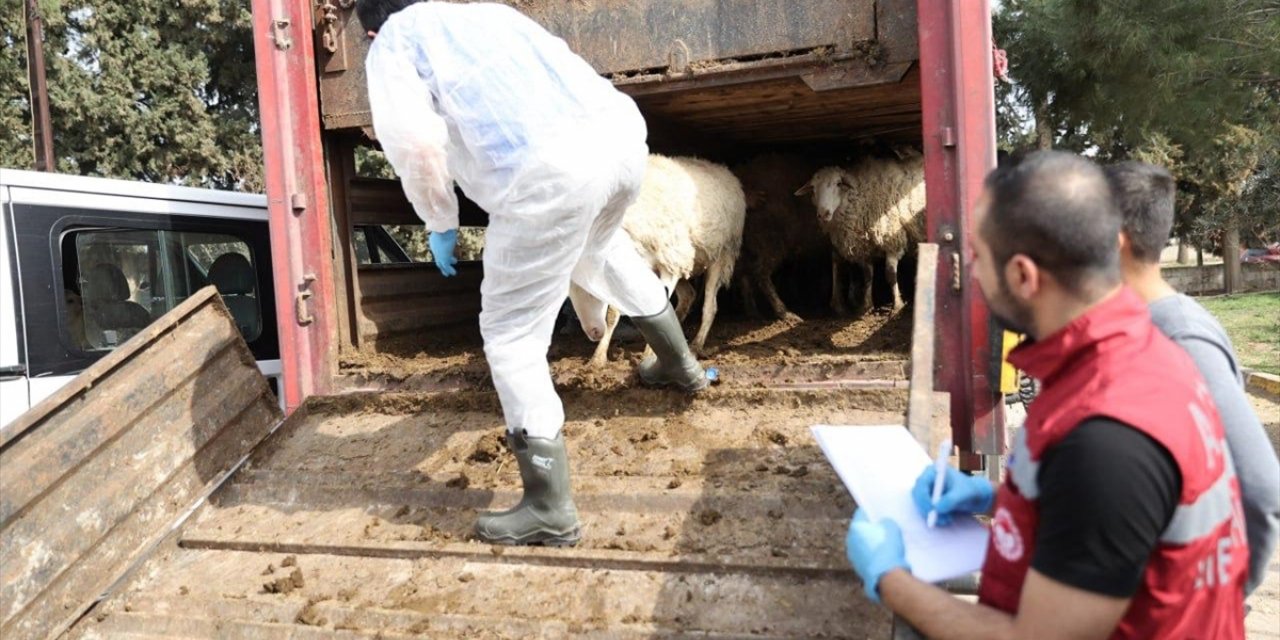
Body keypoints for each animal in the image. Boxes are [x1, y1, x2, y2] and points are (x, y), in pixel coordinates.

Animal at [570, 152, 747, 368]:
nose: (592, 332)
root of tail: (722, 169)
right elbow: (614, 314)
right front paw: (598, 357)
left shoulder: (670, 263)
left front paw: (649, 354)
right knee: (688, 296)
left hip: (719, 255)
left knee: (709, 307)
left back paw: (696, 346)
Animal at [737, 152, 834, 322]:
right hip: (771, 240)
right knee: (760, 273)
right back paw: (784, 312)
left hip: (747, 245)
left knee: (744, 274)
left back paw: (753, 313)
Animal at [793, 149, 926, 312]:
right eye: (813, 188)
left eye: (838, 183)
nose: (823, 213)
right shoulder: (864, 245)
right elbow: (868, 275)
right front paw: (866, 305)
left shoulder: (892, 238)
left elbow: (890, 274)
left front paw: (897, 305)